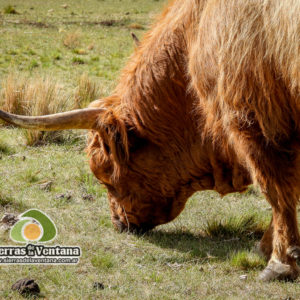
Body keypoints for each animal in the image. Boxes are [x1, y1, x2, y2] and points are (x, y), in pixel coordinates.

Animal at [0, 0, 300, 282]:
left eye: (104, 175)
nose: (119, 223)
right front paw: (267, 247)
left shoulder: (253, 120)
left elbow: (275, 191)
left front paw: (278, 261)